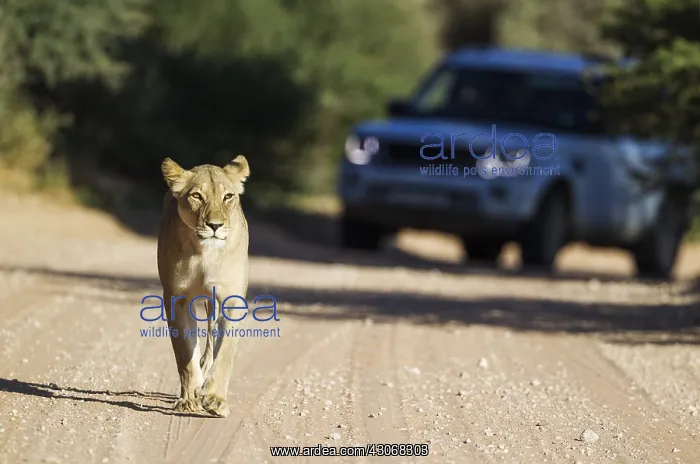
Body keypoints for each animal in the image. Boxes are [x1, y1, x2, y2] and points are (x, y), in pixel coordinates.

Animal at [157, 155, 250, 418]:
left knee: (211, 339)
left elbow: (225, 350)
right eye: (197, 196)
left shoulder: (231, 300)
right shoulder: (176, 298)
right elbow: (185, 353)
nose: (215, 225)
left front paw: (216, 399)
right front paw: (190, 398)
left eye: (228, 197)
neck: (204, 253)